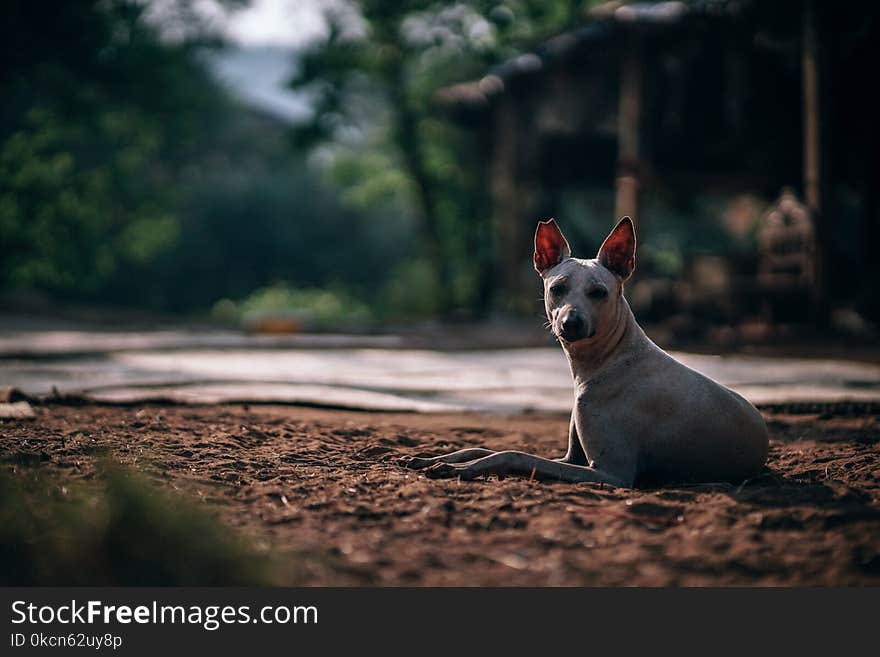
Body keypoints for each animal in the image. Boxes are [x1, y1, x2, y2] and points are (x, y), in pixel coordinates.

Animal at [402, 217, 768, 486]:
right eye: (557, 288)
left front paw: (461, 469)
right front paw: (433, 457)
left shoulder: (611, 474)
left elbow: (513, 454)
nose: (571, 323)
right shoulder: (571, 458)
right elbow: (481, 445)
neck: (610, 361)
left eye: (598, 293)